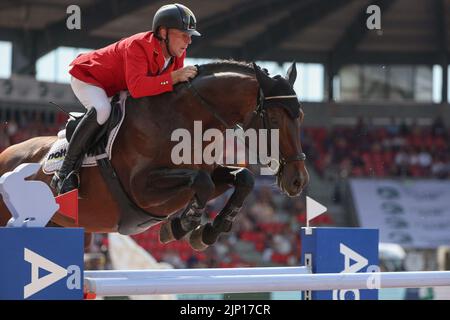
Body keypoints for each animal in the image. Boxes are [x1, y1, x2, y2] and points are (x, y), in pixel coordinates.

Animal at [0, 60, 310, 250]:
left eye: (301, 116)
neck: (185, 117)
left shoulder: (208, 174)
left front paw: (208, 231)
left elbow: (242, 178)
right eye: (274, 118)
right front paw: (181, 226)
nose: (298, 180)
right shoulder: (142, 189)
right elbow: (200, 182)